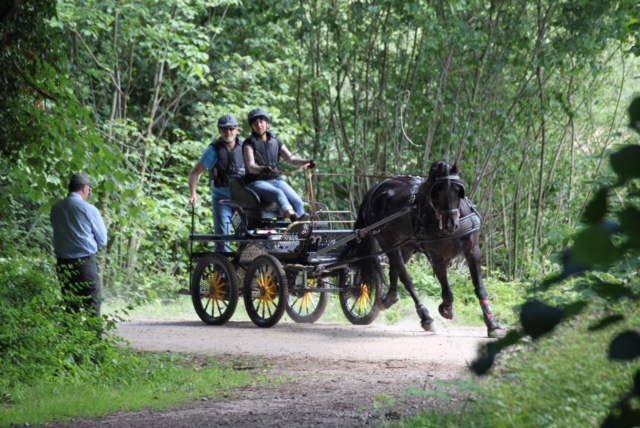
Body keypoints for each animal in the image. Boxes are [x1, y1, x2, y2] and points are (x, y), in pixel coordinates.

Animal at [342, 160, 502, 338]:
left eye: (458, 190)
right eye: (437, 191)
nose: (450, 224)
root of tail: (376, 188)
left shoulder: (472, 251)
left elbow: (480, 288)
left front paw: (492, 324)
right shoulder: (438, 258)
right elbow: (447, 292)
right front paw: (446, 309)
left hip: (405, 245)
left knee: (395, 270)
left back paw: (389, 299)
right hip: (386, 241)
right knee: (405, 277)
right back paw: (426, 318)